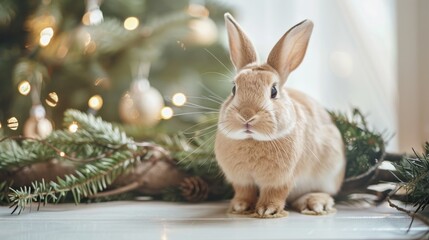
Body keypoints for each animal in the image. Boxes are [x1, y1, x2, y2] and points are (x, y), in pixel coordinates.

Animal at [213, 13, 344, 219]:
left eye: (273, 91)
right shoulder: (241, 180)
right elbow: (244, 192)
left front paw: (268, 210)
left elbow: (274, 193)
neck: (252, 140)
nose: (247, 115)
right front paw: (239, 207)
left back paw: (315, 203)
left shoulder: (281, 179)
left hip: (329, 172)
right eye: (234, 89)